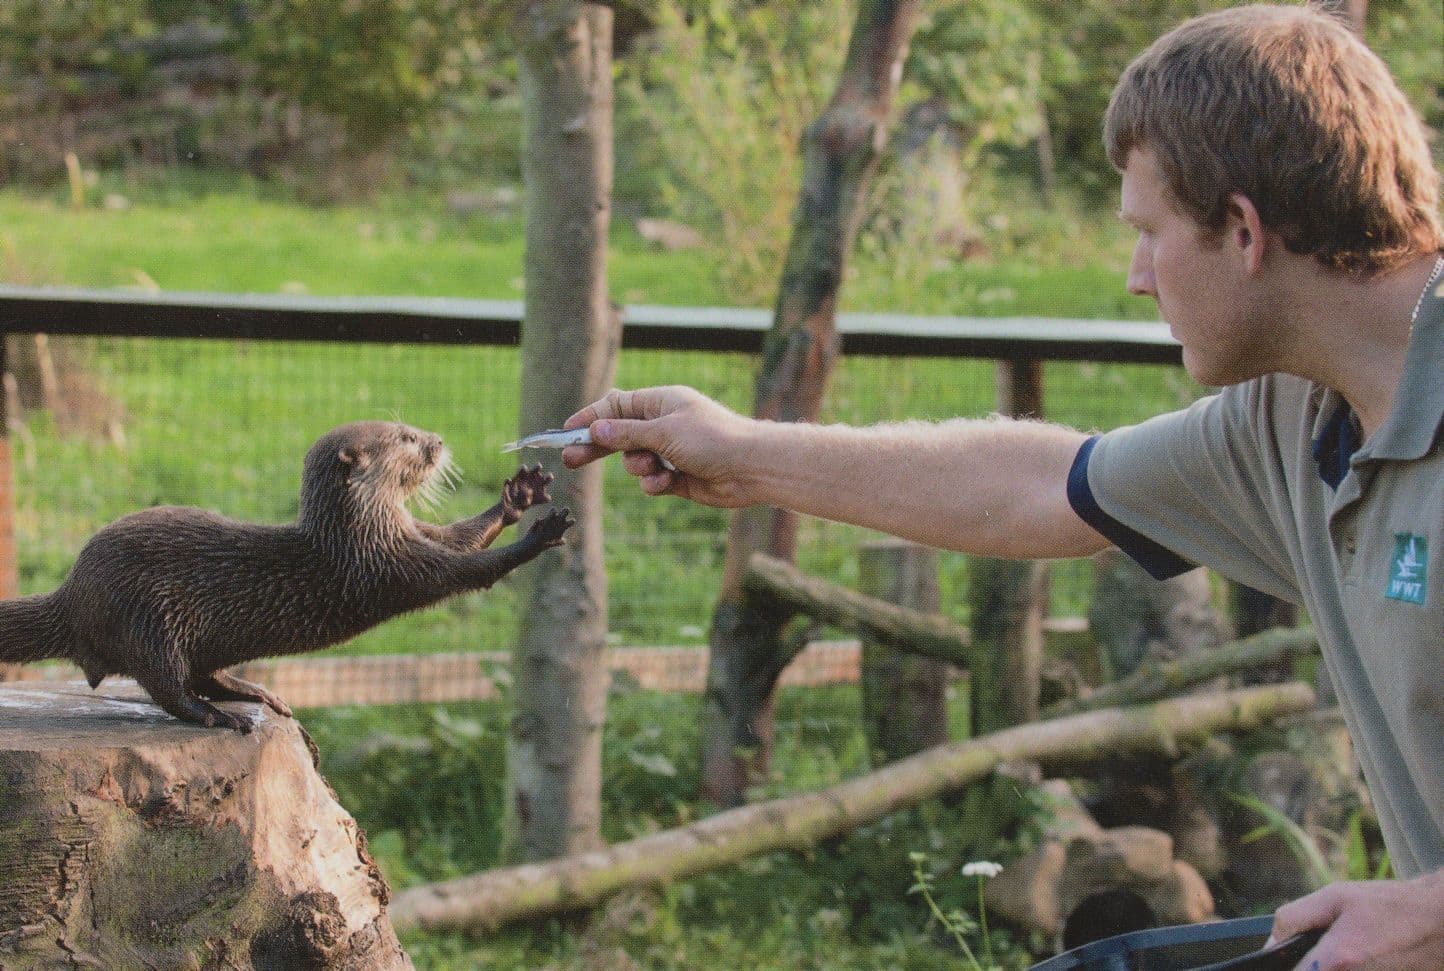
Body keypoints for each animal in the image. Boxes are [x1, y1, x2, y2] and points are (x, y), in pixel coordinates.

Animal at [0, 421, 574, 731]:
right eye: (407, 439)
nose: (437, 438)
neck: (356, 531)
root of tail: (72, 594)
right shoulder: (386, 563)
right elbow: (464, 571)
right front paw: (539, 536)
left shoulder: (412, 534)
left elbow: (459, 536)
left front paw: (518, 496)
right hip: (148, 619)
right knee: (167, 685)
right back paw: (219, 716)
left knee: (199, 675)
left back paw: (252, 692)